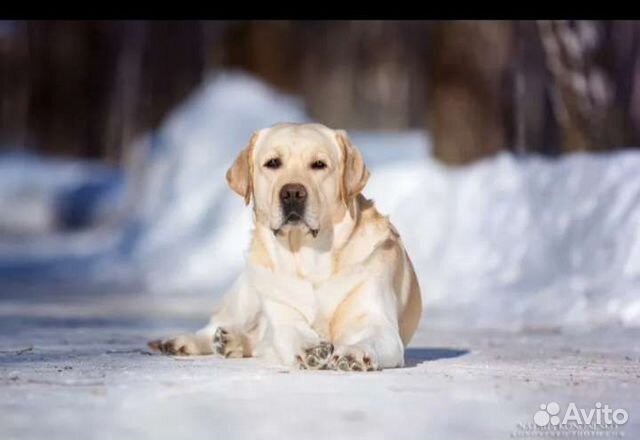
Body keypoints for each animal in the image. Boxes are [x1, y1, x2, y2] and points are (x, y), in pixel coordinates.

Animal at [148, 121, 422, 372]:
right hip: (246, 293)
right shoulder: (283, 316)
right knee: (217, 323)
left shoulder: (378, 322)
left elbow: (369, 337)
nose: (292, 193)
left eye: (319, 164)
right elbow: (291, 332)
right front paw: (311, 348)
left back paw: (232, 341)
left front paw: (353, 352)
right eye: (273, 163)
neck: (309, 257)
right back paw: (183, 341)